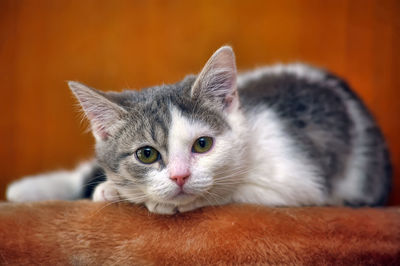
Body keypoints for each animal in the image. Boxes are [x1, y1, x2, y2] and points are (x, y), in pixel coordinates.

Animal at [6, 45, 392, 214]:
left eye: (203, 145)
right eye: (147, 154)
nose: (179, 177)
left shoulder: (298, 182)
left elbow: (234, 193)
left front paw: (158, 200)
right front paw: (110, 190)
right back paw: (24, 190)